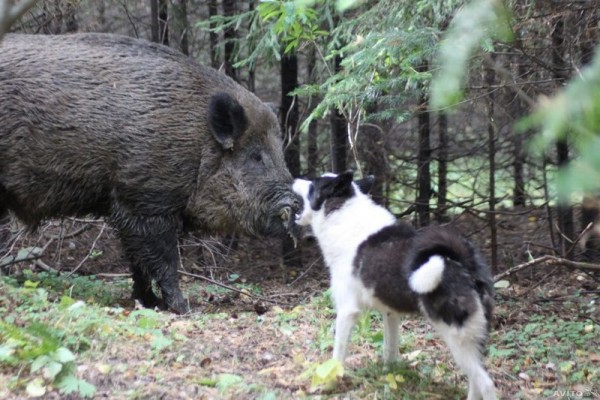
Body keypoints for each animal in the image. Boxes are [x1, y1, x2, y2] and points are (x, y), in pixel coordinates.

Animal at [294, 172, 496, 400]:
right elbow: (389, 351)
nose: (294, 180)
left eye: (313, 185)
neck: (342, 214)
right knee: (475, 380)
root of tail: (463, 262)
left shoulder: (346, 312)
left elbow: (337, 357)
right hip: (473, 340)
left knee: (485, 384)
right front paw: (388, 376)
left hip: (457, 338)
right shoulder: (390, 314)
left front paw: (329, 384)